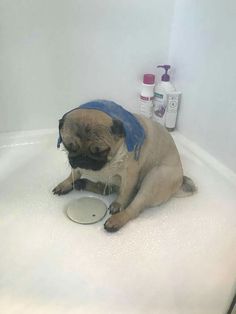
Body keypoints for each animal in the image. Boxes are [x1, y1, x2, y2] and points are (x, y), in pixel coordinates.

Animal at [53, 99, 195, 232]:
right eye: (68, 146)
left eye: (101, 151)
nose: (83, 158)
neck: (108, 163)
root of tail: (180, 180)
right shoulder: (75, 164)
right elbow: (73, 174)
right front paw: (65, 184)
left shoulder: (130, 174)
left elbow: (124, 192)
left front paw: (118, 204)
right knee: (105, 189)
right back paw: (82, 183)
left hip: (156, 177)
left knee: (133, 208)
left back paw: (116, 220)